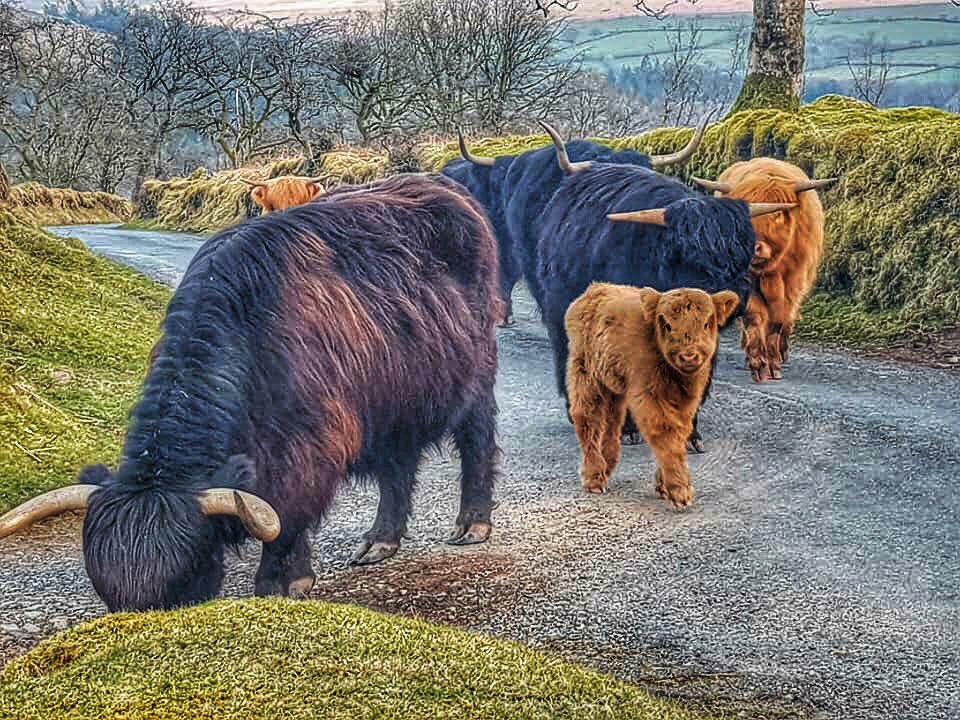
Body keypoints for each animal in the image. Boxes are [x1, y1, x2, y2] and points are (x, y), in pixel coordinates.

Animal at [0, 173, 501, 612]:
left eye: (186, 579)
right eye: (108, 594)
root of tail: (443, 186)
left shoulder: (310, 447)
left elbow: (286, 519)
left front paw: (281, 584)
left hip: (475, 376)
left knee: (477, 442)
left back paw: (473, 523)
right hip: (397, 398)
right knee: (398, 466)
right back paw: (380, 541)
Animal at [535, 146, 795, 452]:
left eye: (743, 252)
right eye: (690, 255)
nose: (735, 294)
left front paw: (691, 433)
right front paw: (629, 429)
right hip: (561, 310)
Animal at [565, 283, 740, 507]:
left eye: (707, 323)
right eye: (666, 324)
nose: (689, 356)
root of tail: (595, 288)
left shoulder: (686, 404)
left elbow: (680, 434)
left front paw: (664, 486)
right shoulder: (649, 398)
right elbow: (665, 435)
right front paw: (680, 491)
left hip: (614, 385)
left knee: (612, 423)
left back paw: (607, 465)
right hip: (585, 375)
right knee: (588, 419)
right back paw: (594, 479)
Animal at [691, 159, 836, 382]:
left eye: (777, 213)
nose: (753, 246)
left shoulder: (794, 282)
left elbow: (779, 320)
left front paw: (774, 363)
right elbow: (754, 317)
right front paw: (759, 364)